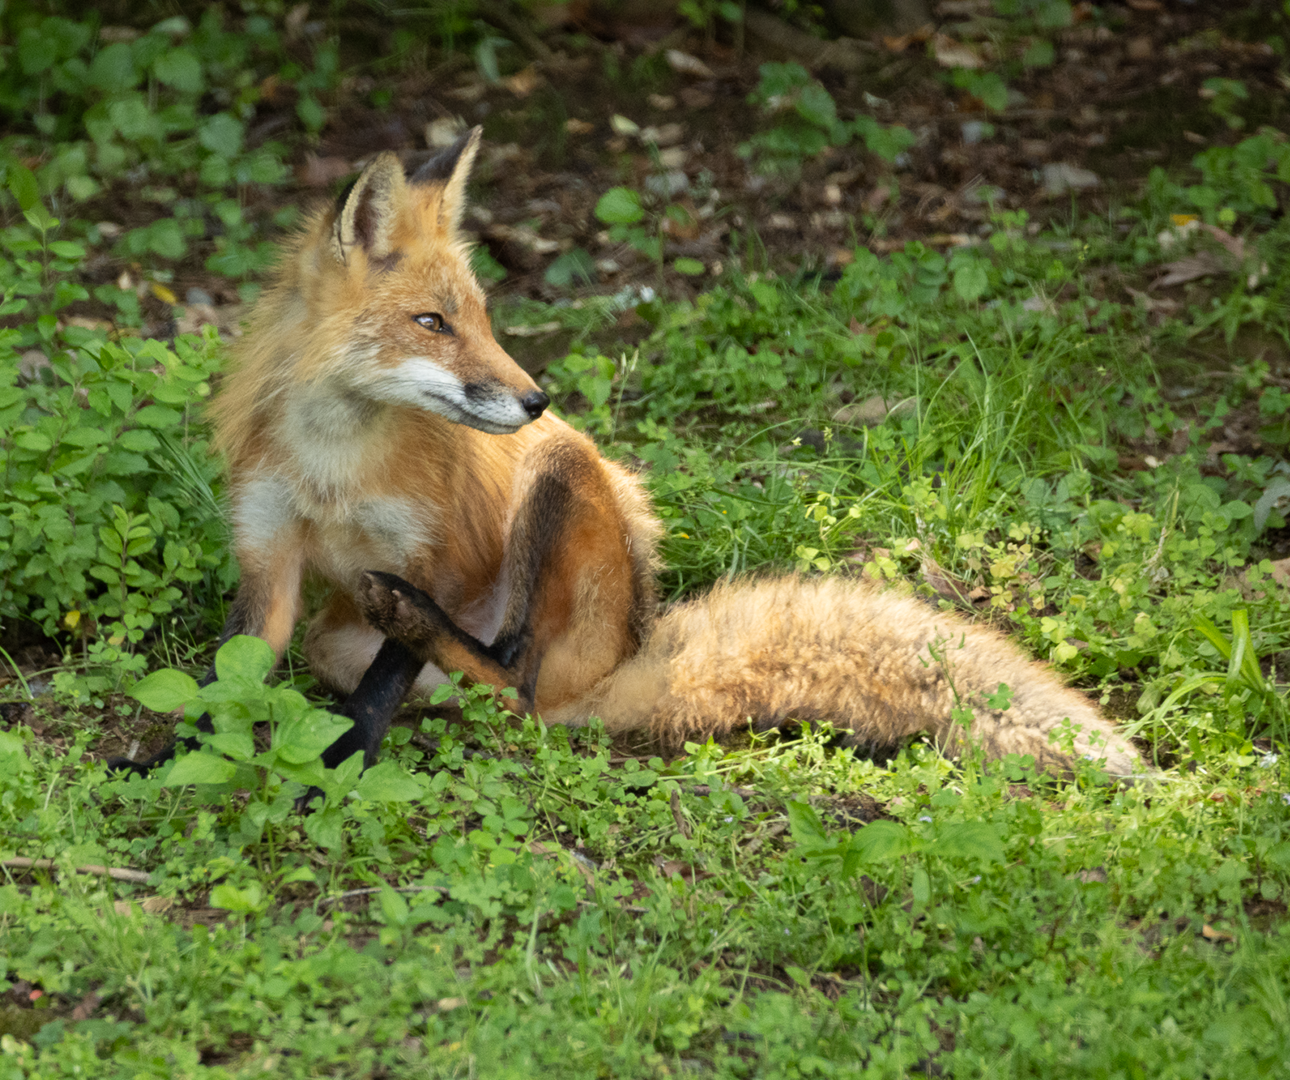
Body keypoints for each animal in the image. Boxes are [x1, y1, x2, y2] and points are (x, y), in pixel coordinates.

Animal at [115, 127, 1143, 781]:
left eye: (481, 319)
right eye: (432, 324)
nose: (536, 399)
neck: (335, 466)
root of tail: (623, 663)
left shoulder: (432, 551)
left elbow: (380, 690)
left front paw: (342, 762)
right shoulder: (270, 562)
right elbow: (221, 688)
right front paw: (171, 759)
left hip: (559, 486)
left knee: (516, 679)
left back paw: (429, 640)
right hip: (337, 635)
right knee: (488, 694)